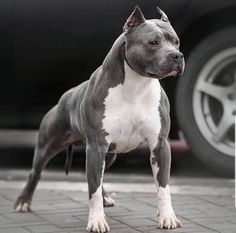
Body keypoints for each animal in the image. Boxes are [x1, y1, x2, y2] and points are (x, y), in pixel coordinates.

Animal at [14, 6, 184, 232]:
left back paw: (106, 198)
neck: (136, 86)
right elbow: (92, 189)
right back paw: (24, 201)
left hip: (109, 154)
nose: (177, 56)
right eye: (153, 42)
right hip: (48, 146)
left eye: (176, 41)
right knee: (35, 173)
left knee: (101, 177)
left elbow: (163, 187)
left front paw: (167, 217)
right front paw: (96, 221)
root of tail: (64, 97)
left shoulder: (160, 145)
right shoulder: (95, 147)